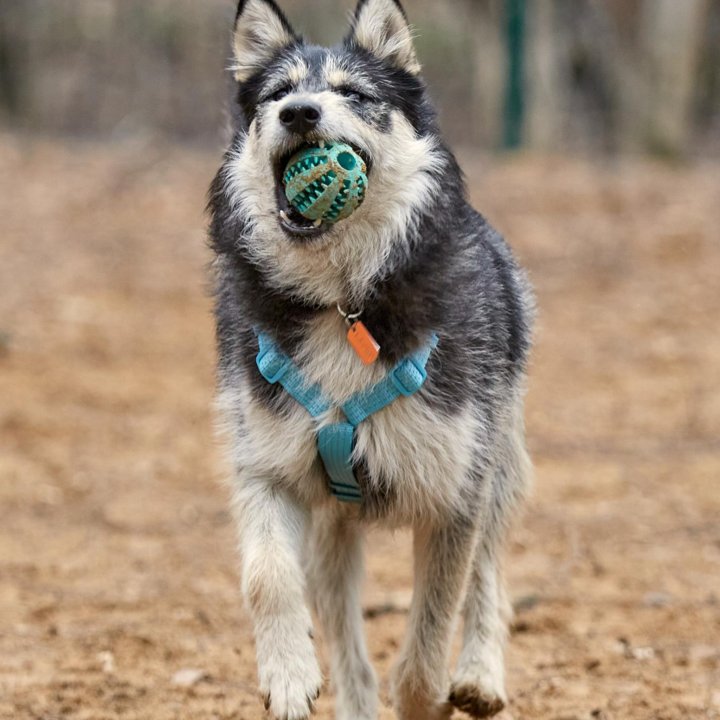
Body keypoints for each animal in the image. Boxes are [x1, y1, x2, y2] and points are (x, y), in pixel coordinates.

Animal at [208, 1, 536, 720]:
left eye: (354, 94)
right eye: (276, 94)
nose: (300, 113)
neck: (343, 301)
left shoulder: (455, 496)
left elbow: (431, 630)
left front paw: (432, 694)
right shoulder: (266, 464)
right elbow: (265, 575)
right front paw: (287, 674)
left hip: (498, 462)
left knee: (490, 575)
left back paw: (480, 674)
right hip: (332, 531)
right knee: (344, 636)